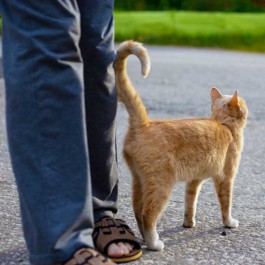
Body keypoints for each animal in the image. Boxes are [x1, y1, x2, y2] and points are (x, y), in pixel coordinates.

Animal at [113, 40, 248, 250]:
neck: (223, 124)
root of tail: (144, 123)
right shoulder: (225, 178)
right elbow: (226, 204)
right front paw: (229, 223)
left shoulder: (194, 180)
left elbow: (190, 202)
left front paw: (188, 223)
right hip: (161, 185)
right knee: (148, 214)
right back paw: (154, 243)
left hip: (139, 180)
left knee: (137, 210)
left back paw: (144, 238)